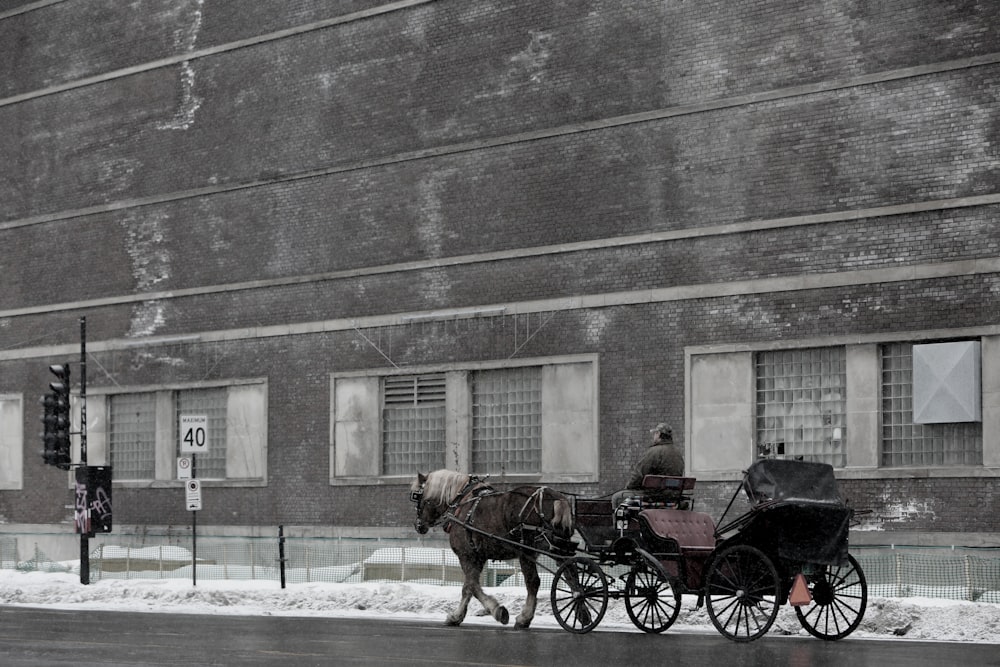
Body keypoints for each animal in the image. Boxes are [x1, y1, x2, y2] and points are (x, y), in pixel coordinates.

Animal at [408, 468, 580, 628]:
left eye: (417, 496)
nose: (418, 525)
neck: (461, 502)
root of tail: (557, 498)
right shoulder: (478, 557)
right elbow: (468, 587)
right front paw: (457, 616)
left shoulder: (467, 555)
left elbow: (472, 585)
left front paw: (497, 611)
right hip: (558, 548)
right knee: (571, 574)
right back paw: (581, 609)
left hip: (527, 551)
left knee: (533, 582)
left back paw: (524, 618)